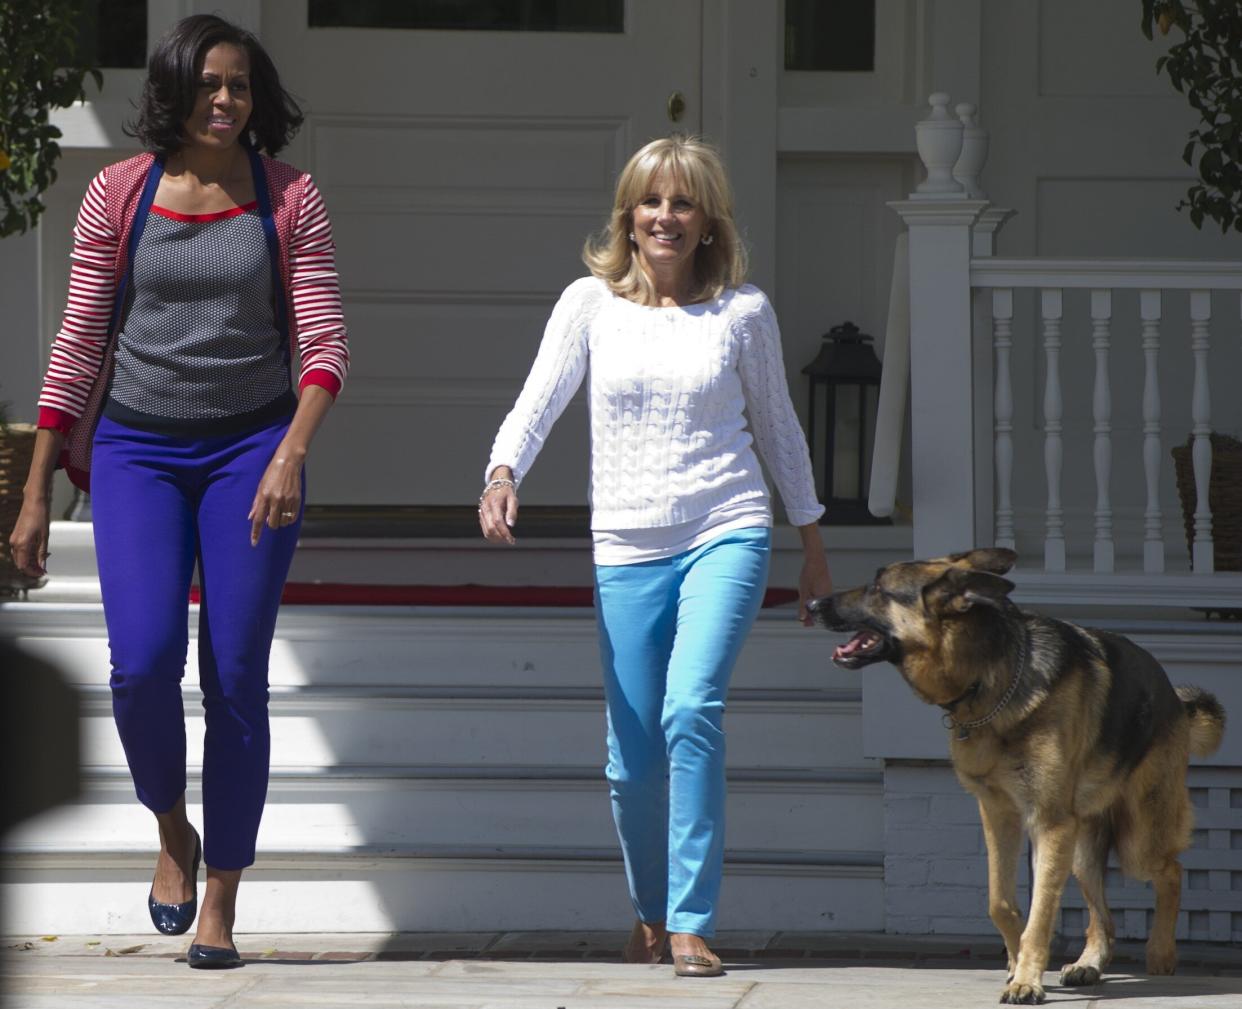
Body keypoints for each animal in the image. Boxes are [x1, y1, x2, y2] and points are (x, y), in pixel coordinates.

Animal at [809, 546, 1227, 1004]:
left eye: (878, 588)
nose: (810, 604)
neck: (992, 678)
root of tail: (1175, 698)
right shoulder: (999, 815)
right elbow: (1001, 903)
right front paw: (1015, 964)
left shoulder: (1049, 824)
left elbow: (1041, 913)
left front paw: (1027, 979)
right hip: (1081, 849)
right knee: (1104, 915)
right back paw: (1089, 962)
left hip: (1137, 840)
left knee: (1171, 872)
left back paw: (1162, 951)